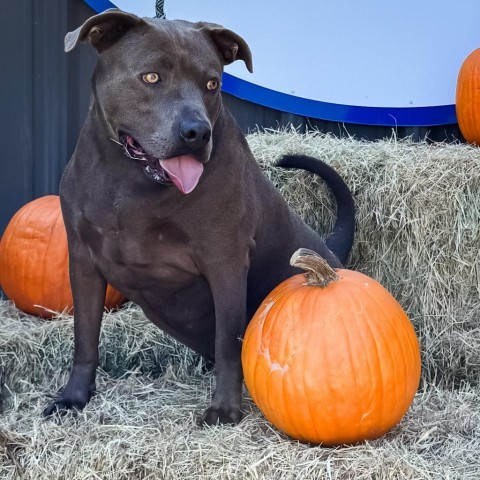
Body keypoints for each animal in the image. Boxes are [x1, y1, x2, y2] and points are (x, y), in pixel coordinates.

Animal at [42, 10, 356, 424]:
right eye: (151, 77)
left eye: (212, 83)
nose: (196, 132)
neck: (131, 179)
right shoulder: (82, 259)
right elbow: (84, 336)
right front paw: (73, 397)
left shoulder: (224, 261)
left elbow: (228, 343)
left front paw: (224, 408)